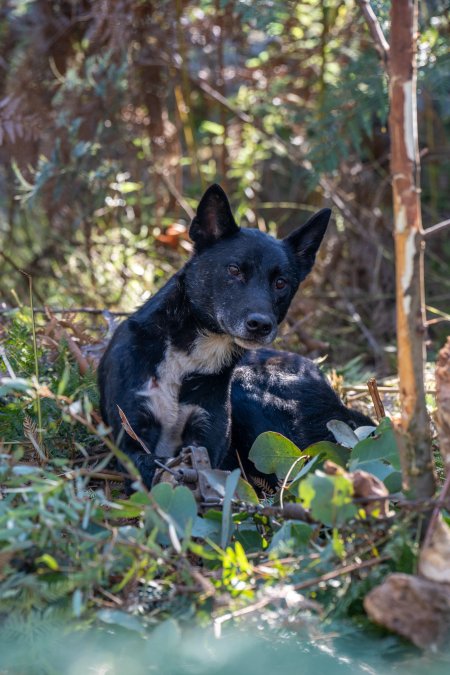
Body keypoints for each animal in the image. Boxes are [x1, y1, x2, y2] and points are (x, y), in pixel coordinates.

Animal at [97, 182, 330, 488]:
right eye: (234, 270)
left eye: (281, 283)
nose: (261, 325)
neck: (189, 352)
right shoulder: (132, 435)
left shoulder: (206, 437)